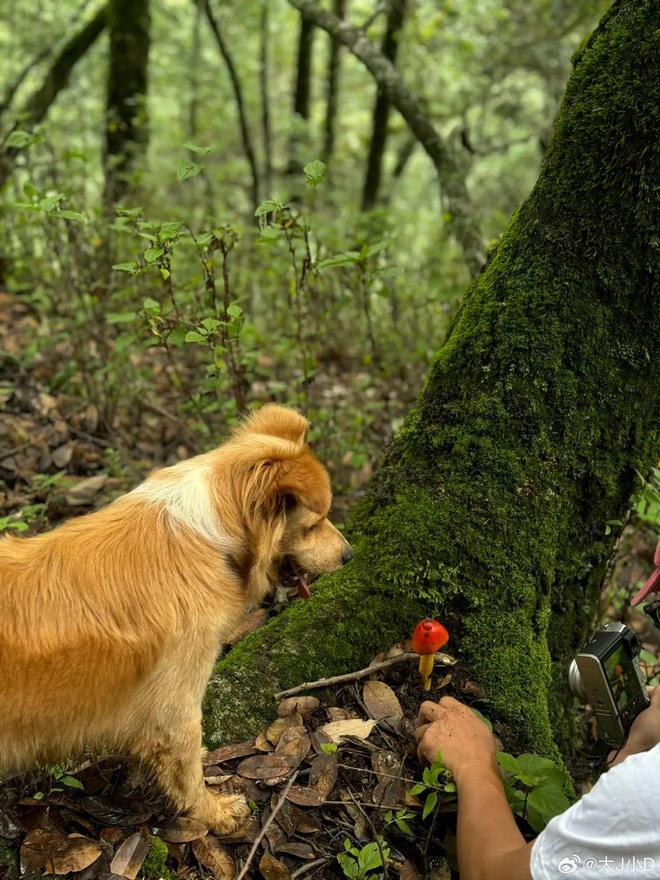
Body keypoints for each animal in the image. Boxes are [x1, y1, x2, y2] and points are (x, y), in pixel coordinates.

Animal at [0, 406, 354, 832]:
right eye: (315, 523)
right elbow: (186, 770)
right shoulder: (177, 704)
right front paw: (212, 813)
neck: (213, 534)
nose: (350, 555)